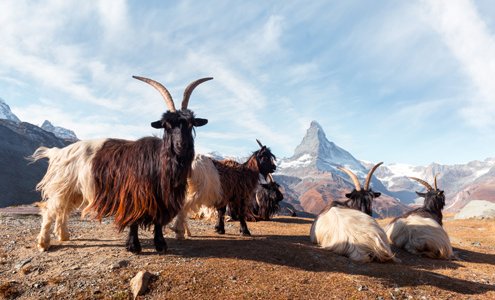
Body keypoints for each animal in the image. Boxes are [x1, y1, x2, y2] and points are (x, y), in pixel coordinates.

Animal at [29, 75, 211, 253]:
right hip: (63, 187)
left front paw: (160, 245)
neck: (160, 161)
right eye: (167, 125)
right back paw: (44, 243)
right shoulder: (133, 195)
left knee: (62, 210)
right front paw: (134, 246)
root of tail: (58, 152)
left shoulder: (161, 199)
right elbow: (134, 221)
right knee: (50, 210)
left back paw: (63, 235)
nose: (182, 145)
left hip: (73, 191)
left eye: (191, 124)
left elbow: (158, 222)